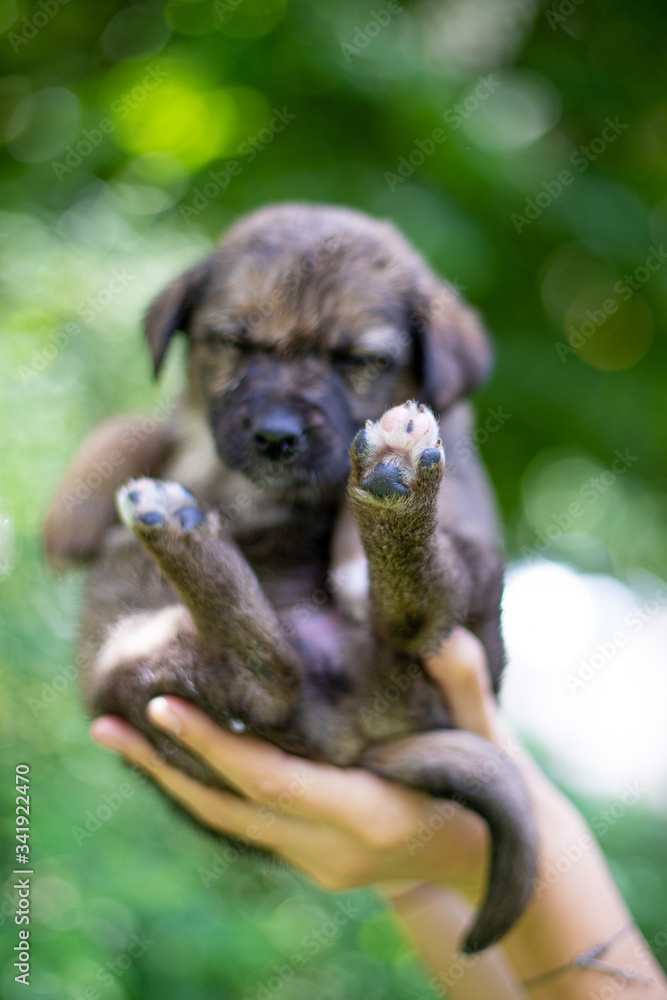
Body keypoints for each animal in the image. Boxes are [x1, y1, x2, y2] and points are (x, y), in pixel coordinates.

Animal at [44, 201, 536, 952]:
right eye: (234, 344)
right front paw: (71, 511)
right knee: (279, 669)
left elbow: (449, 462)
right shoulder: (184, 426)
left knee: (304, 661)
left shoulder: (460, 457)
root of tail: (364, 742)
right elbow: (135, 425)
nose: (276, 437)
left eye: (360, 360)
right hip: (126, 666)